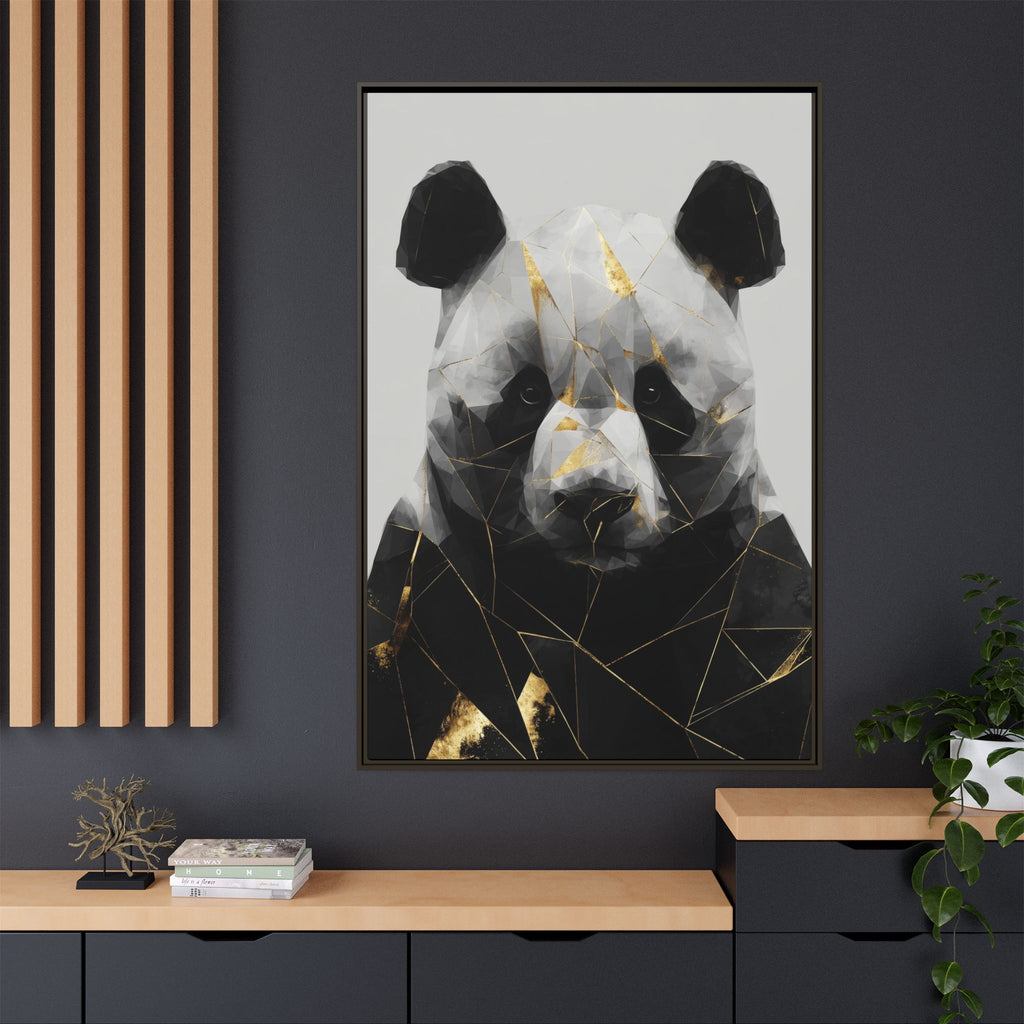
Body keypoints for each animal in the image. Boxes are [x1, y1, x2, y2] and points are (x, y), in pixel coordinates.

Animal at [365, 160, 812, 763]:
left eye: (654, 394)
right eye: (528, 393)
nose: (594, 501)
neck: (591, 608)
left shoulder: (752, 591)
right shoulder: (426, 588)